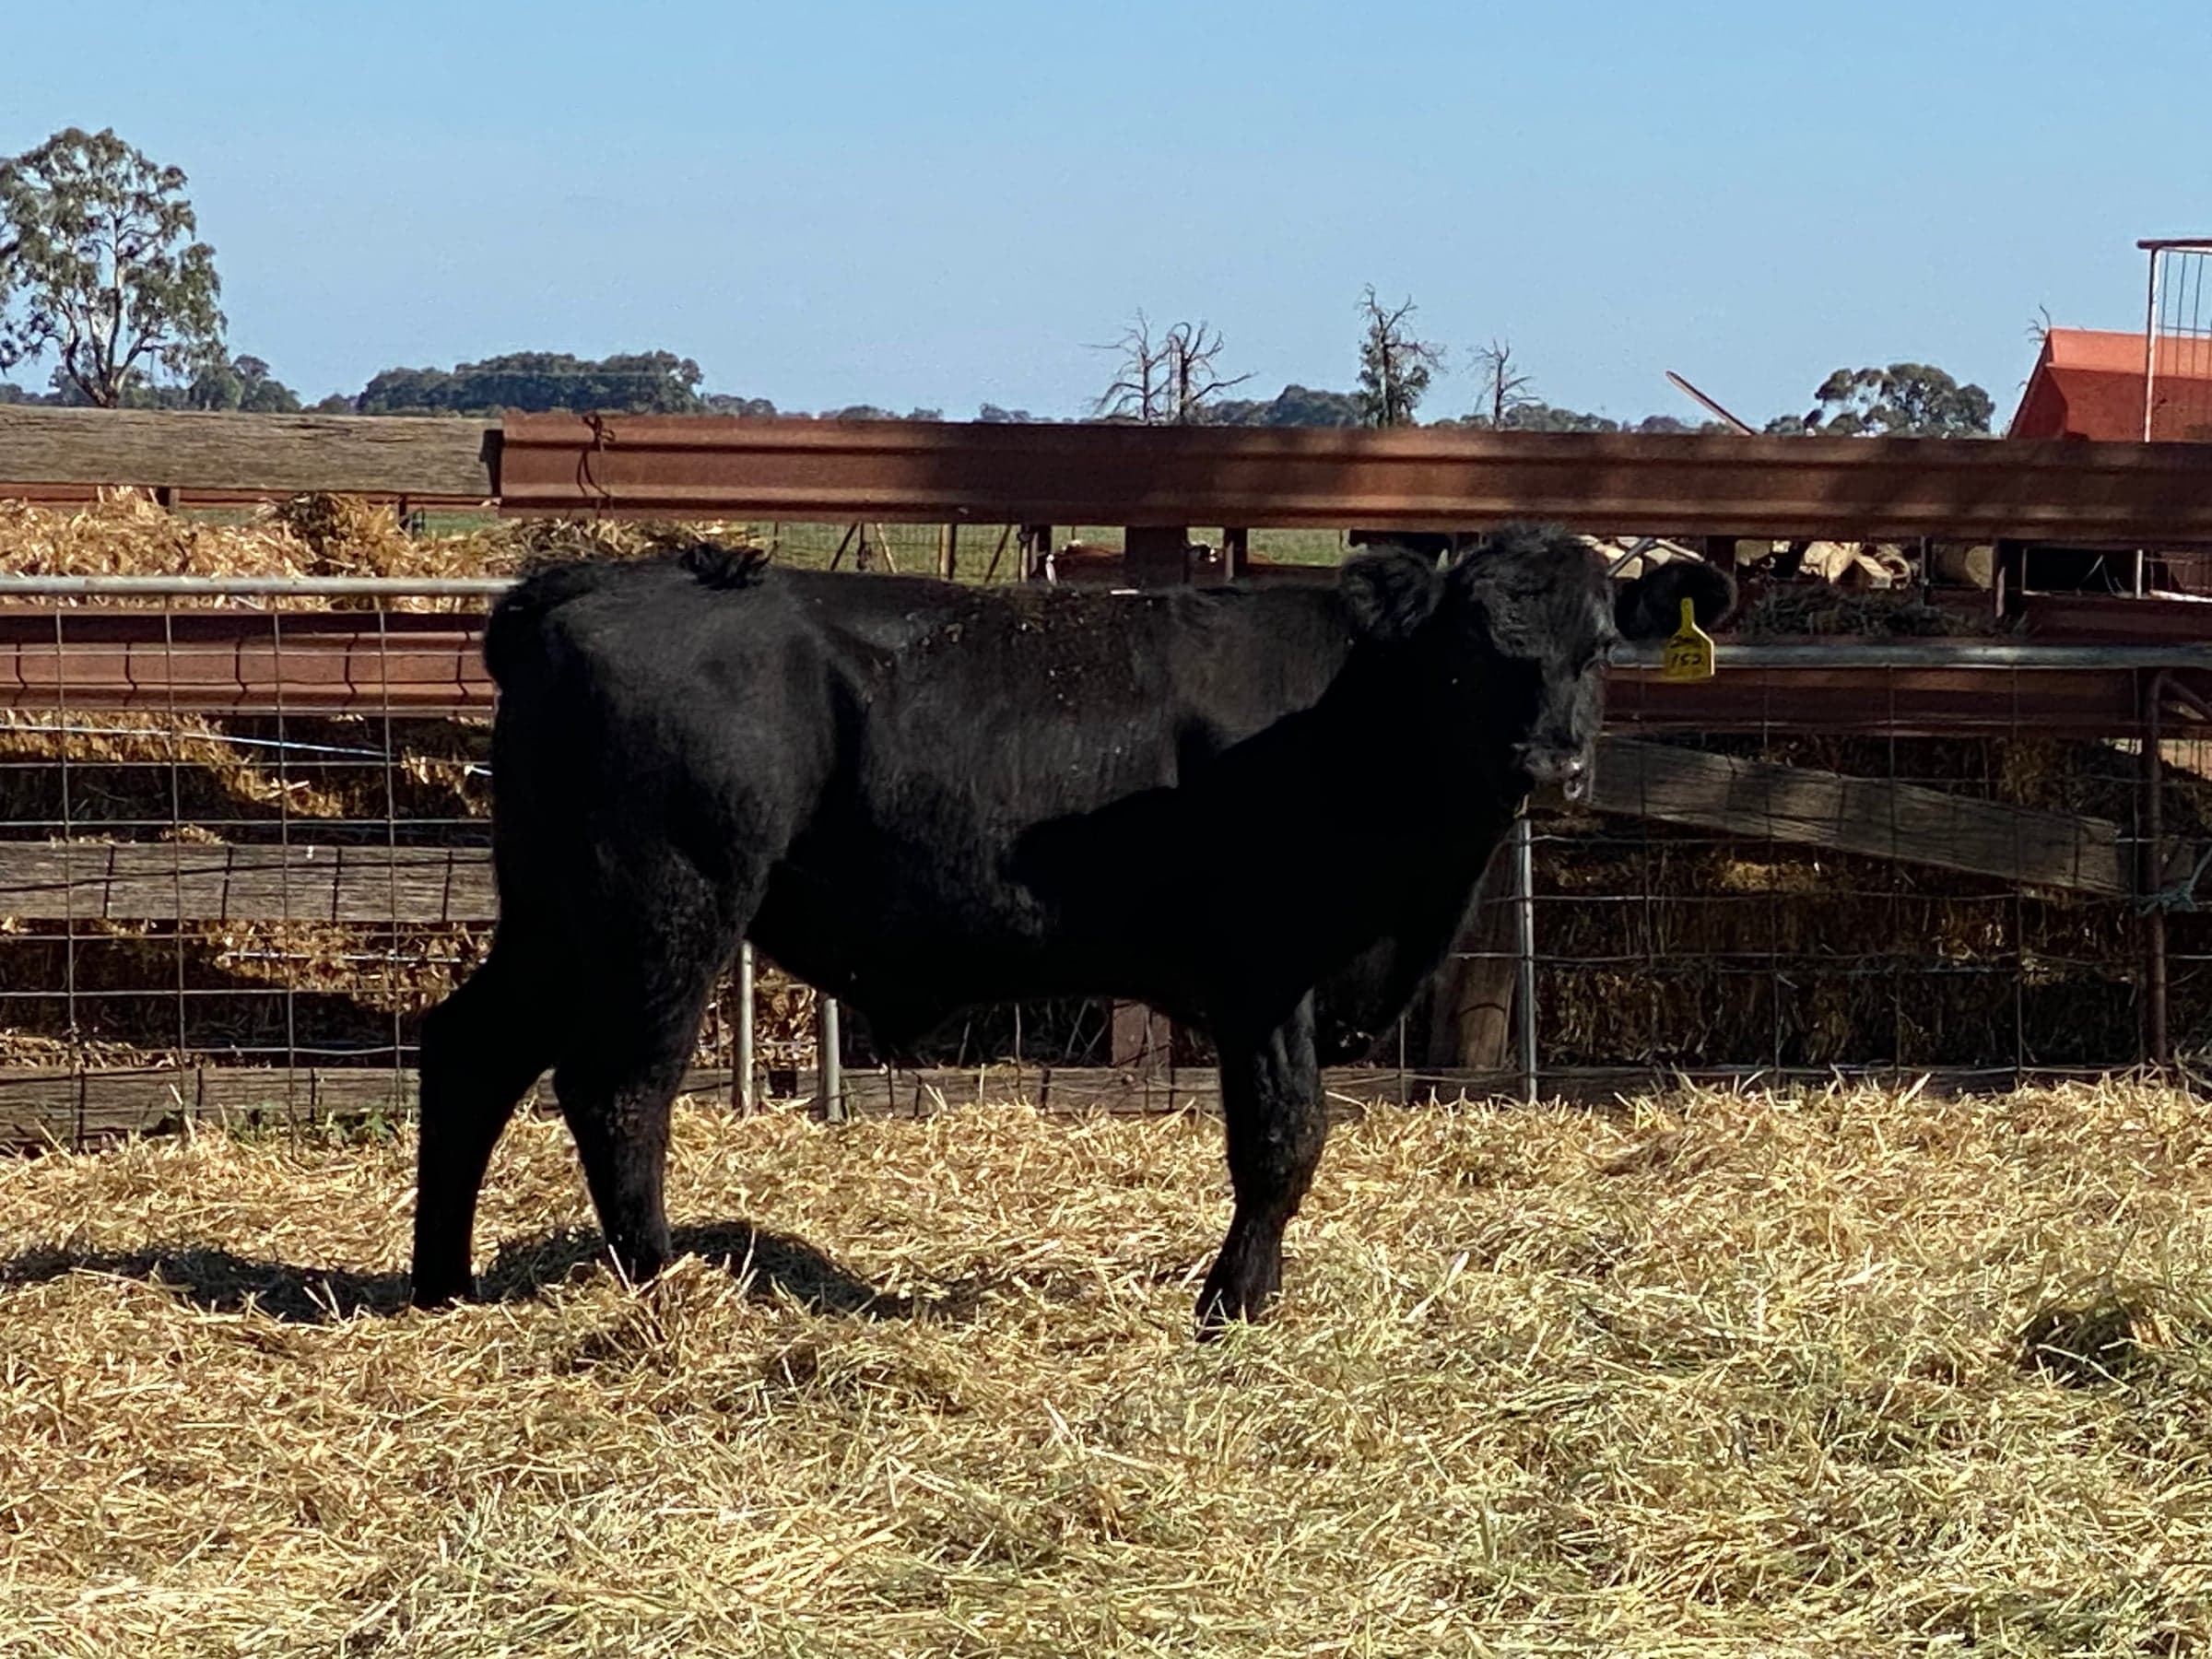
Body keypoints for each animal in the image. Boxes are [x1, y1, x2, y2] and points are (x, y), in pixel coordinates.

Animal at [408, 525, 1734, 1331]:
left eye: (1598, 648)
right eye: (1473, 650)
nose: (1550, 763)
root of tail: (593, 582)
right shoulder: (1265, 973)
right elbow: (1282, 1141)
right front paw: (1234, 1308)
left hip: (556, 916)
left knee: (470, 1051)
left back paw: (443, 1284)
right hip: (663, 908)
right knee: (619, 1087)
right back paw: (659, 1288)